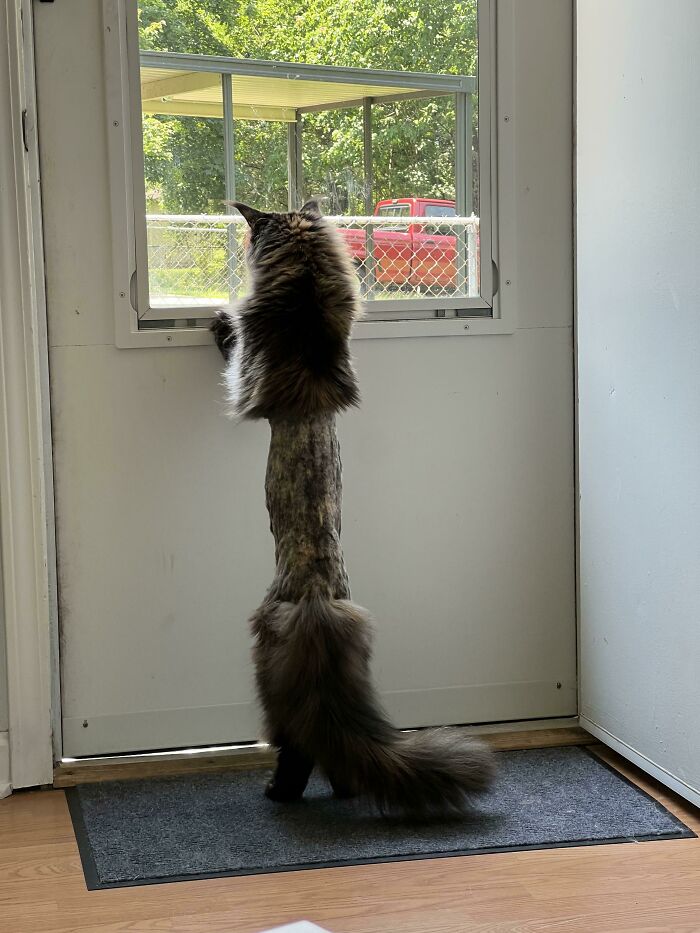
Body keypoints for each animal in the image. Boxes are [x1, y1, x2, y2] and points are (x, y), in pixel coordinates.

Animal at [211, 200, 494, 812]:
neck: (306, 303)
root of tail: (319, 610)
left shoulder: (245, 379)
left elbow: (233, 358)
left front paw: (221, 324)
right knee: (336, 759)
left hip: (269, 676)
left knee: (298, 751)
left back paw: (277, 795)